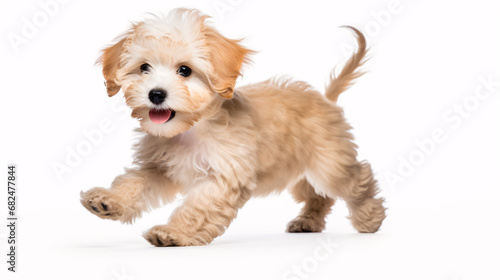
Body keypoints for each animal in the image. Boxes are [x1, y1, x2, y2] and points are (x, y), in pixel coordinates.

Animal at [82, 7, 386, 246]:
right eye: (144, 67)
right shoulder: (159, 167)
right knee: (318, 196)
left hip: (329, 165)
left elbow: (197, 207)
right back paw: (308, 221)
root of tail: (324, 98)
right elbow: (134, 182)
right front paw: (109, 200)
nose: (156, 94)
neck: (190, 129)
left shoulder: (223, 176)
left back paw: (370, 217)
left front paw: (174, 233)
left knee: (358, 179)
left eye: (185, 70)